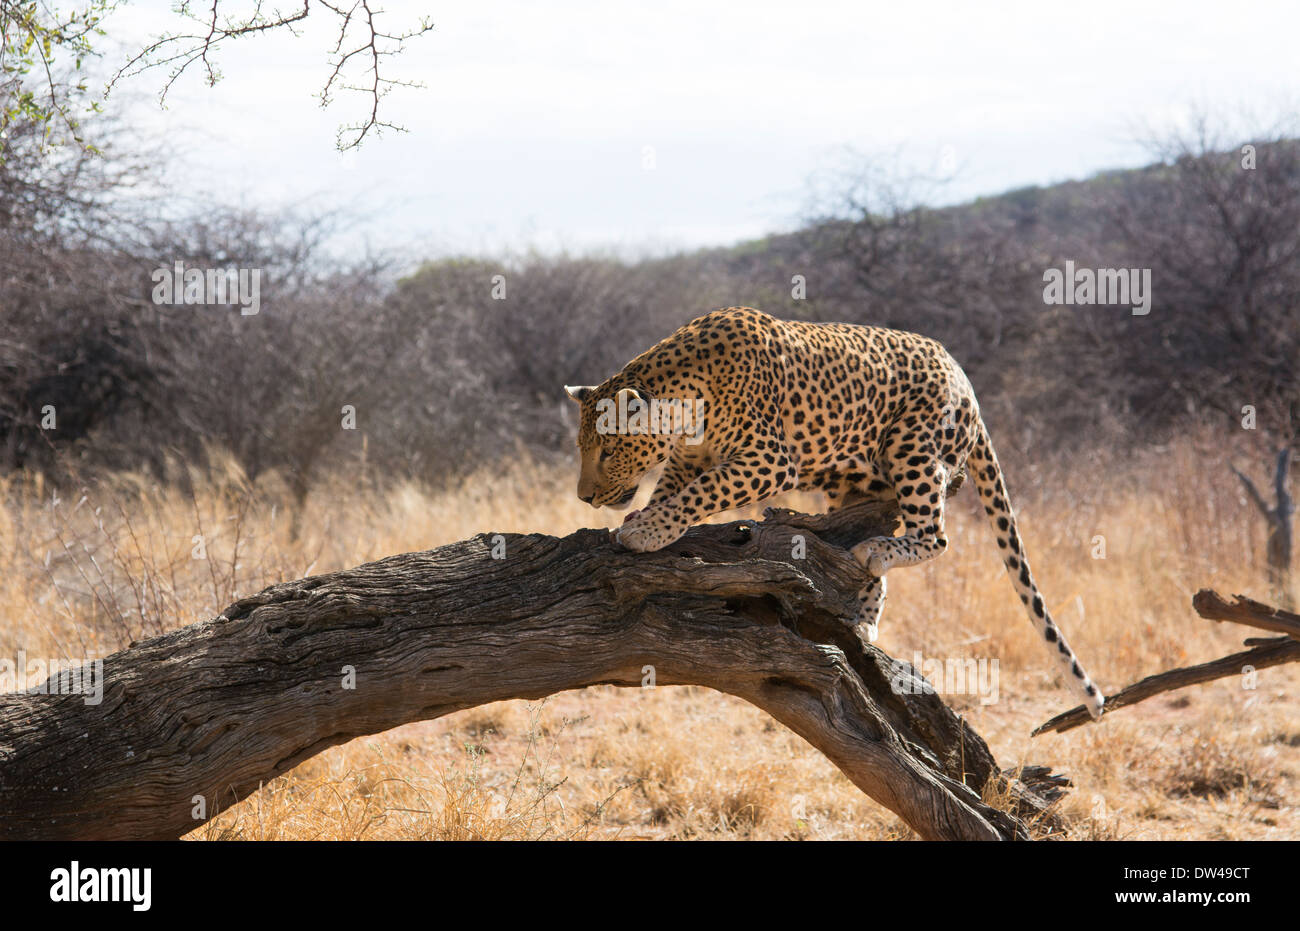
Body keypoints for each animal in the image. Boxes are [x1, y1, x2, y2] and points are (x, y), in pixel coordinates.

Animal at [564, 306, 1104, 719]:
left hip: (910, 446)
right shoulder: (686, 458)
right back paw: (861, 619)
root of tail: (962, 374)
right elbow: (673, 490)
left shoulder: (769, 459)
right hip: (854, 486)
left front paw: (647, 531)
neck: (688, 395)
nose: (585, 497)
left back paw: (876, 556)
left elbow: (704, 491)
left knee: (933, 534)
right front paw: (648, 520)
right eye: (581, 448)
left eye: (607, 452)